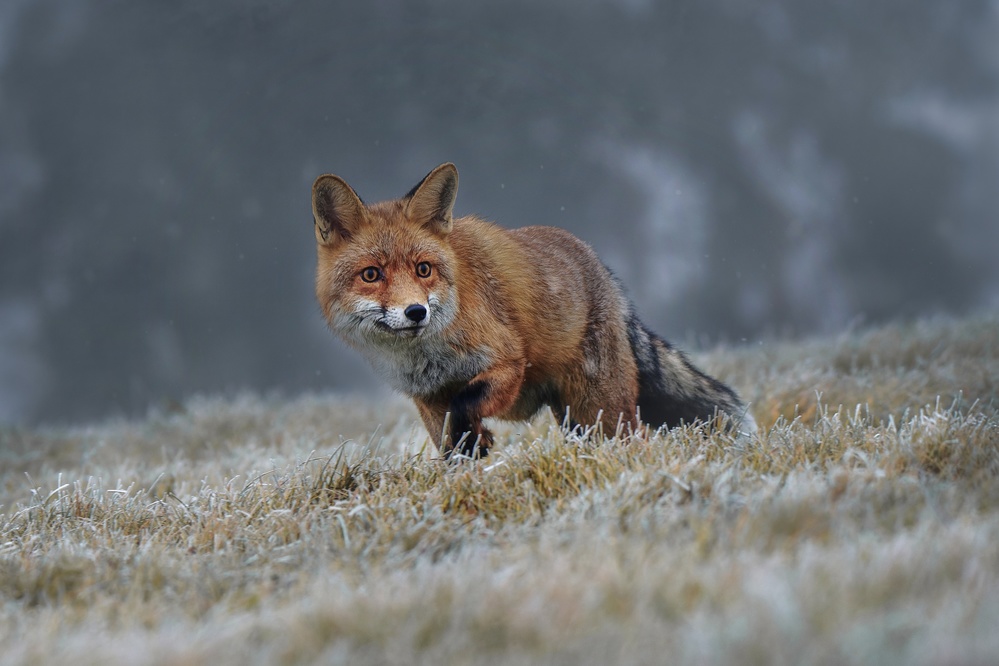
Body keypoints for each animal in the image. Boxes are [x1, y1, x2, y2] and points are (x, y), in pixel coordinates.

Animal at [312, 164, 756, 460]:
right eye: (372, 275)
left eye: (424, 269)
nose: (416, 311)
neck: (429, 357)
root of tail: (608, 276)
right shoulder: (428, 398)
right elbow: (449, 447)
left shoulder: (509, 362)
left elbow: (467, 404)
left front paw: (475, 438)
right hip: (578, 422)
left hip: (601, 411)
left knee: (636, 442)